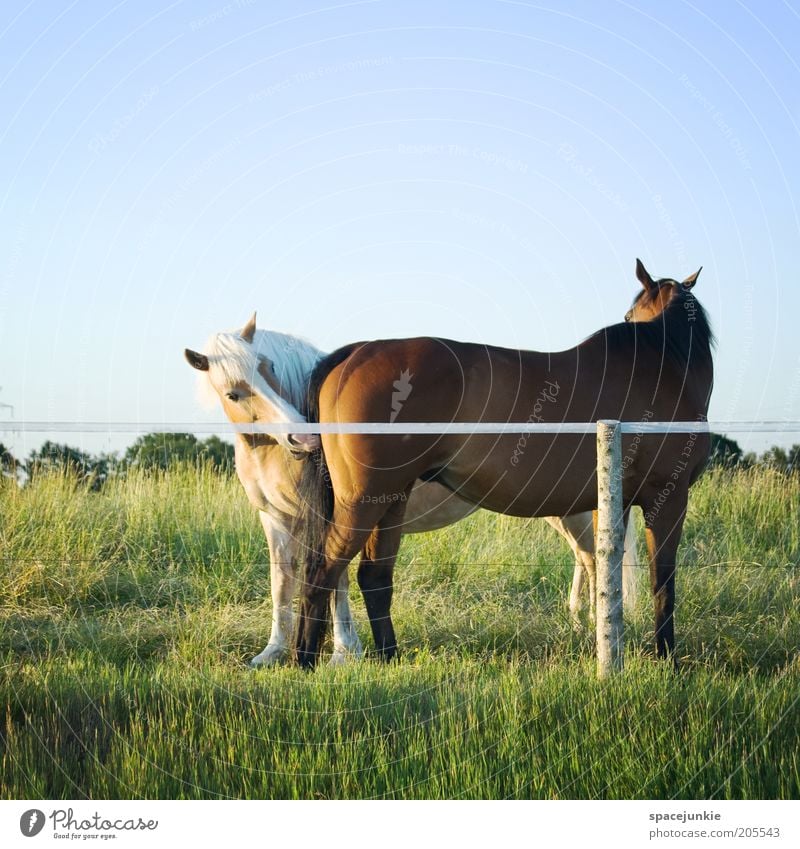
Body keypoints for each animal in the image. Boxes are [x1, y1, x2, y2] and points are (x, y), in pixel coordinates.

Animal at [183, 318, 636, 664]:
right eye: (233, 392)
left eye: (271, 367)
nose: (304, 437)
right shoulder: (276, 519)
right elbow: (283, 580)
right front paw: (272, 652)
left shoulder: (338, 512)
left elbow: (335, 580)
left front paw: (344, 651)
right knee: (587, 558)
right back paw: (581, 621)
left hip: (574, 510)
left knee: (594, 557)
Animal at [292, 255, 712, 664]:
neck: (662, 366)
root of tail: (354, 354)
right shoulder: (668, 497)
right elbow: (662, 581)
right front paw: (666, 658)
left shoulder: (612, 502)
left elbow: (608, 573)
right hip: (364, 500)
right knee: (322, 571)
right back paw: (304, 659)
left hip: (391, 499)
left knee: (374, 577)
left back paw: (387, 658)